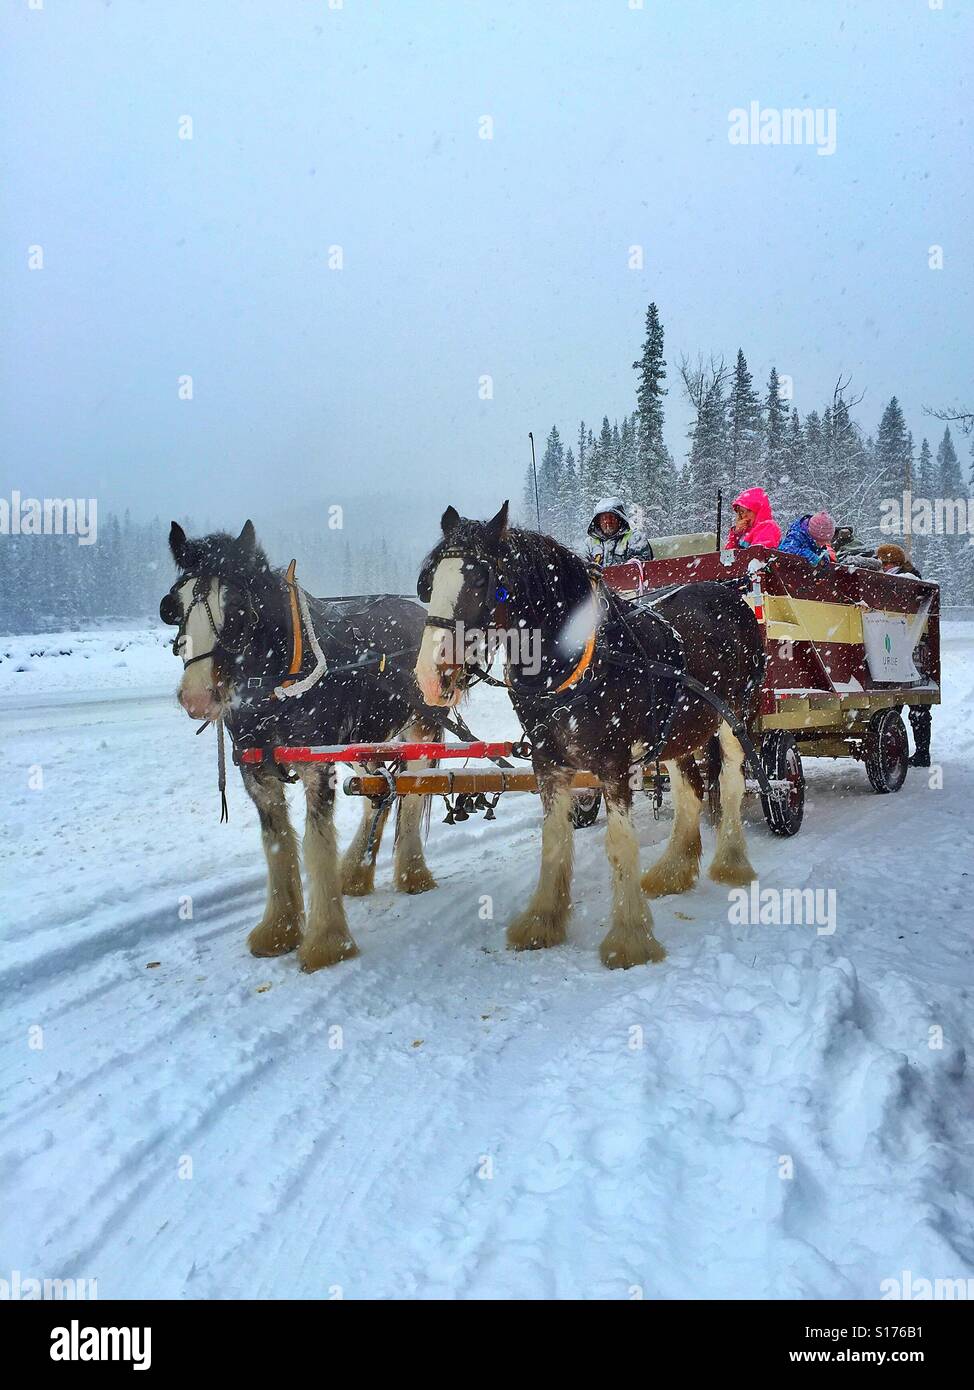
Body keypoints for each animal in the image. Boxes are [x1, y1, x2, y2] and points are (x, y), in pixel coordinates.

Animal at [161, 519, 443, 971]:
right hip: (363, 741)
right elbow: (276, 842)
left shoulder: (316, 765)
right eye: (173, 605)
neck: (277, 682)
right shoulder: (256, 770)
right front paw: (278, 930)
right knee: (380, 791)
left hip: (424, 729)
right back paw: (356, 873)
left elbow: (316, 842)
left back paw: (412, 873)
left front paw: (327, 942)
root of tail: (419, 612)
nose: (197, 696)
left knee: (414, 793)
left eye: (236, 608)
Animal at [414, 502, 767, 969]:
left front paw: (630, 937)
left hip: (735, 717)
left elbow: (619, 842)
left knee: (729, 784)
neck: (577, 661)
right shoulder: (548, 763)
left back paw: (731, 862)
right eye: (430, 583)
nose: (429, 677)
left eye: (479, 581)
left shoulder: (613, 763)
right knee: (689, 791)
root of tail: (729, 592)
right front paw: (542, 922)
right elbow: (554, 840)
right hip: (677, 730)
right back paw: (673, 871)